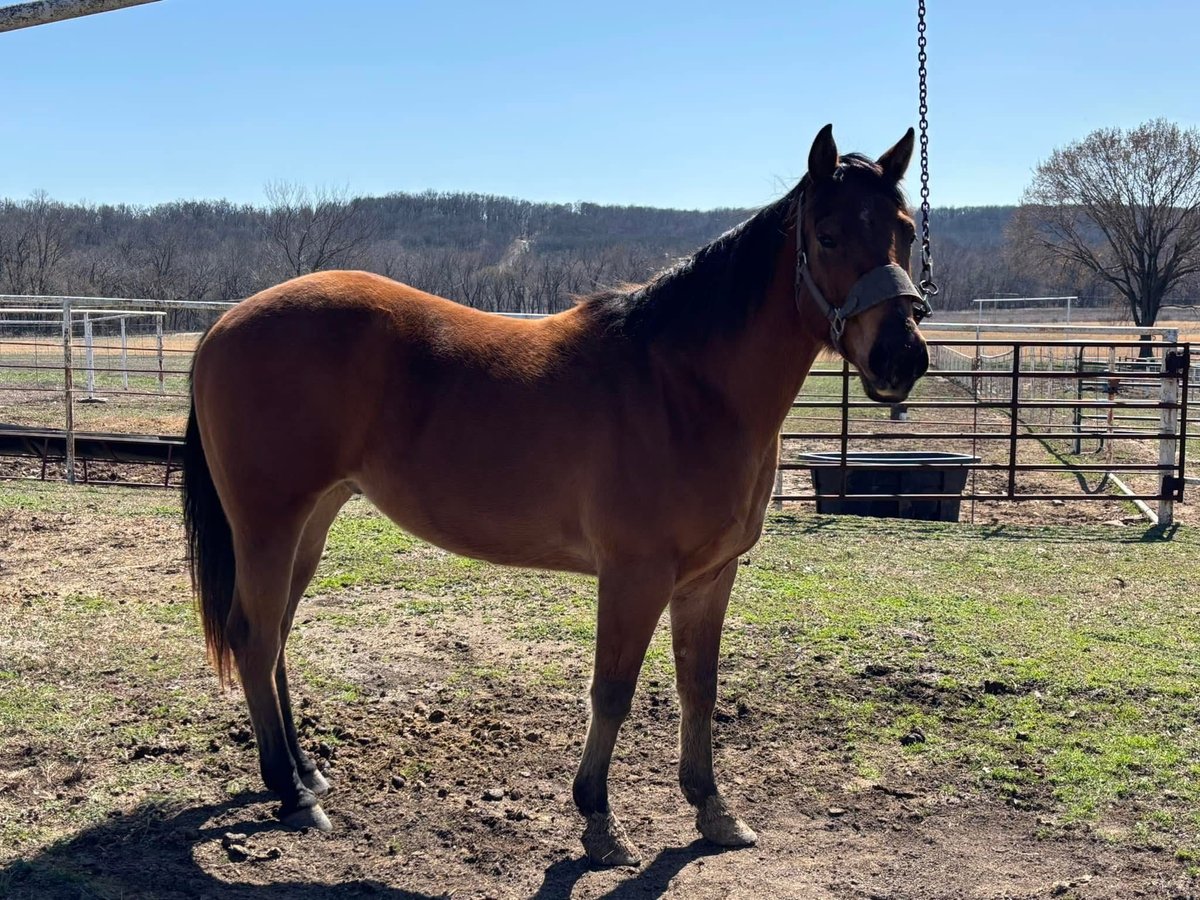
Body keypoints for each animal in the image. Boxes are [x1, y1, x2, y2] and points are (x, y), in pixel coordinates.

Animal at [184, 125, 926, 868]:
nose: (903, 357)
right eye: (827, 235)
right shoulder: (634, 575)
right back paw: (291, 794)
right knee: (255, 639)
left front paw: (713, 809)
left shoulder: (710, 578)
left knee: (277, 635)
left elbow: (699, 689)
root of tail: (223, 326)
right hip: (268, 524)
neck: (682, 384)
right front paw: (599, 820)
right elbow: (613, 692)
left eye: (906, 230)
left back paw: (305, 772)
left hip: (313, 518)